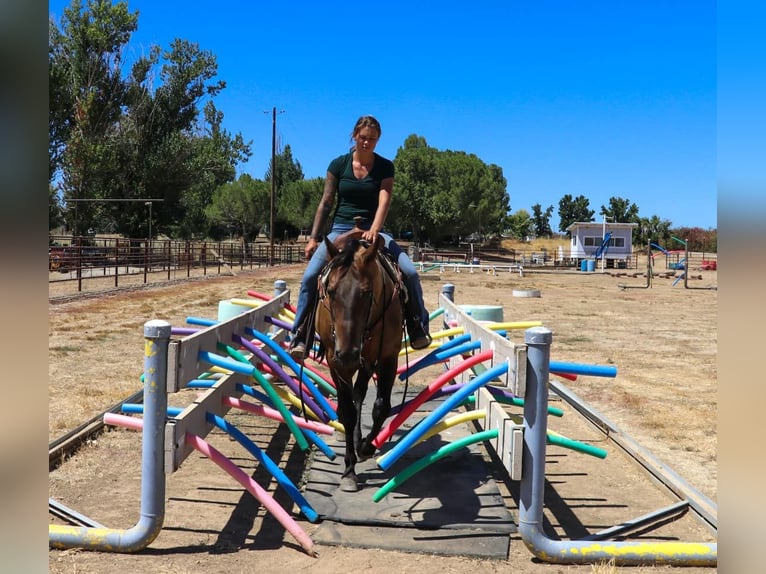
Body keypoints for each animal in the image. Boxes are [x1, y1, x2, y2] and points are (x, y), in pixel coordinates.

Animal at [313, 229, 404, 492]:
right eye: (331, 291)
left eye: (366, 292)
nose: (348, 353)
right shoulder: (336, 363)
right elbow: (348, 411)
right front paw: (349, 469)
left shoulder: (387, 358)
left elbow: (381, 407)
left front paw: (365, 447)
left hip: (367, 361)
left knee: (360, 394)